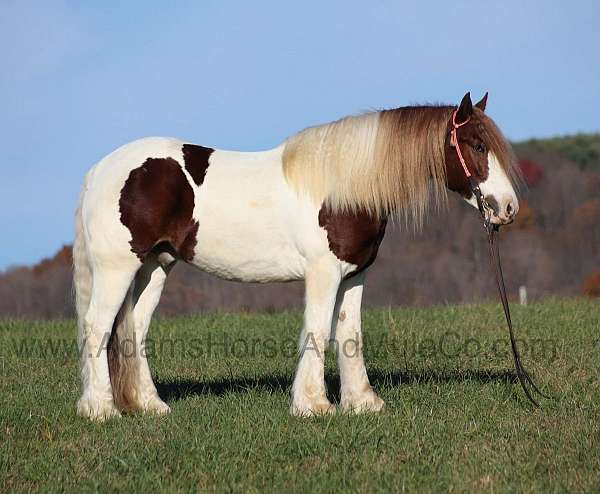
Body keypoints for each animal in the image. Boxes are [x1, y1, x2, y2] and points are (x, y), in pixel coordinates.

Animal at [72, 91, 516, 420]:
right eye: (477, 145)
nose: (508, 208)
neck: (344, 185)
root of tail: (100, 170)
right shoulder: (324, 272)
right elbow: (318, 330)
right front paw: (314, 405)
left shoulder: (354, 274)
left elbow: (349, 334)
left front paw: (362, 403)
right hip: (117, 268)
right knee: (98, 326)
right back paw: (101, 410)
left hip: (155, 267)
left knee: (134, 330)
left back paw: (151, 405)